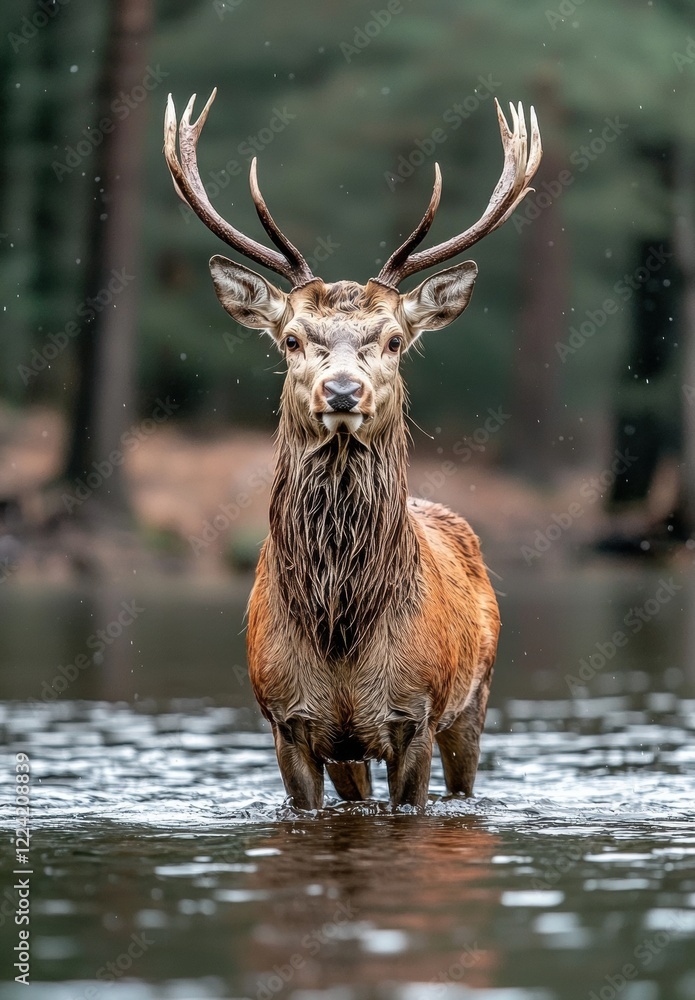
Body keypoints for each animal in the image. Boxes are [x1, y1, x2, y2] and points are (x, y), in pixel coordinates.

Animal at [164, 90, 541, 811]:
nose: (342, 391)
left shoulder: (415, 714)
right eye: (291, 338)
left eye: (393, 339)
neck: (339, 635)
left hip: (474, 698)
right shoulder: (286, 721)